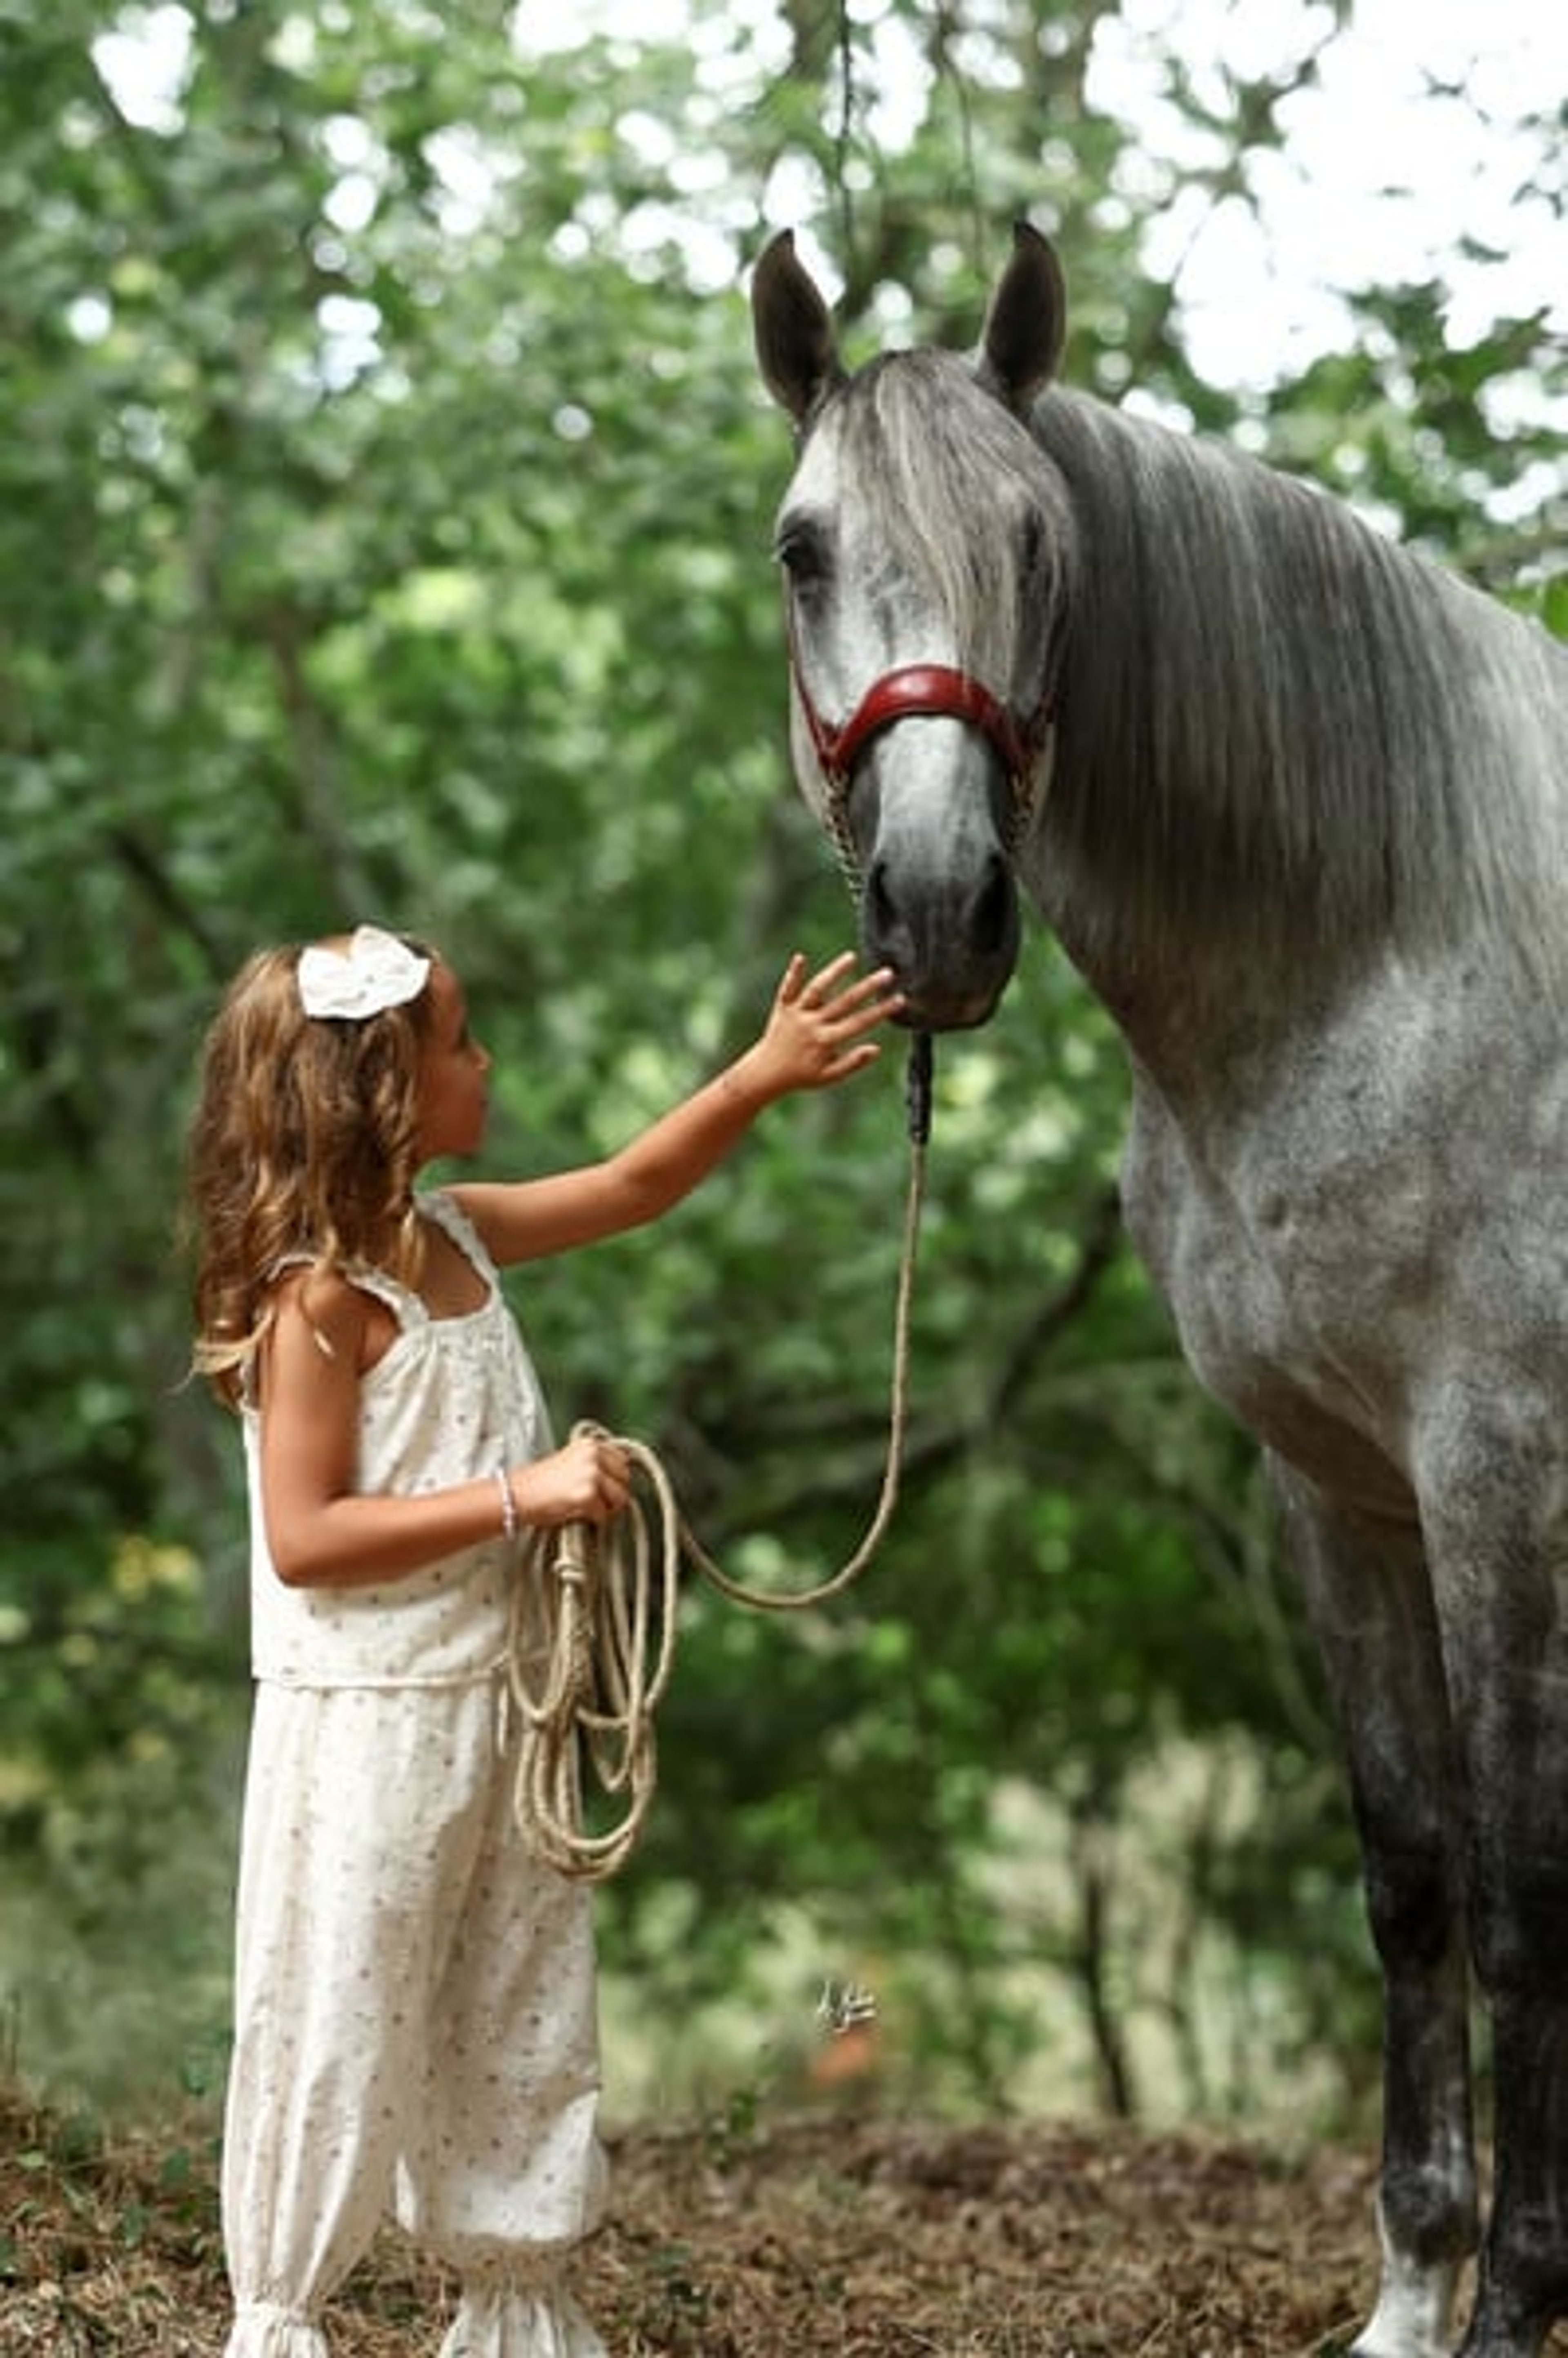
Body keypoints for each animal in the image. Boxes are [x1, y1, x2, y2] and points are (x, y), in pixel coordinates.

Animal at [750, 220, 1568, 2358]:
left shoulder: (1501, 1476)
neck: (1392, 945)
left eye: (1040, 542)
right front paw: (1412, 2296)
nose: (936, 913)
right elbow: (1410, 1870)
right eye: (800, 548)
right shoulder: (1334, 1480)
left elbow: (1523, 1891)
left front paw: (1519, 2307)